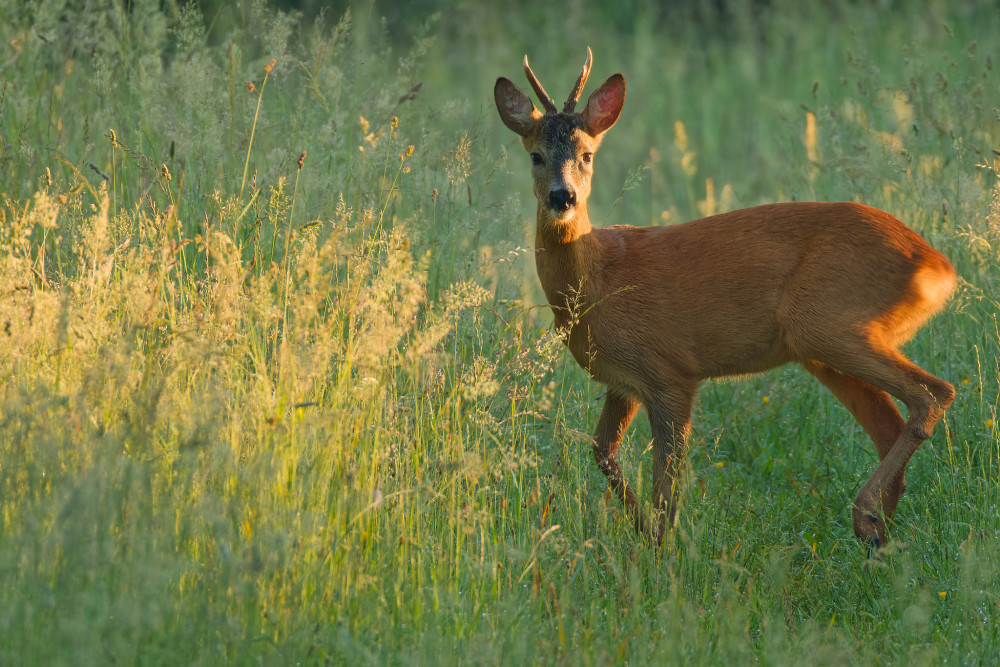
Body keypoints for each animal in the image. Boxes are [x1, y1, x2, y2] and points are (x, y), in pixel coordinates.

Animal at [496, 48, 956, 548]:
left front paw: (661, 550)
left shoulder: (669, 371)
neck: (598, 282)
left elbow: (666, 484)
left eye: (587, 154)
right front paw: (641, 534)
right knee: (890, 423)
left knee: (933, 392)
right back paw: (877, 535)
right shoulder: (623, 381)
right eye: (536, 155)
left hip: (827, 322)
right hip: (823, 346)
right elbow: (603, 450)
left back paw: (863, 515)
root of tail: (938, 266)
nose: (563, 197)